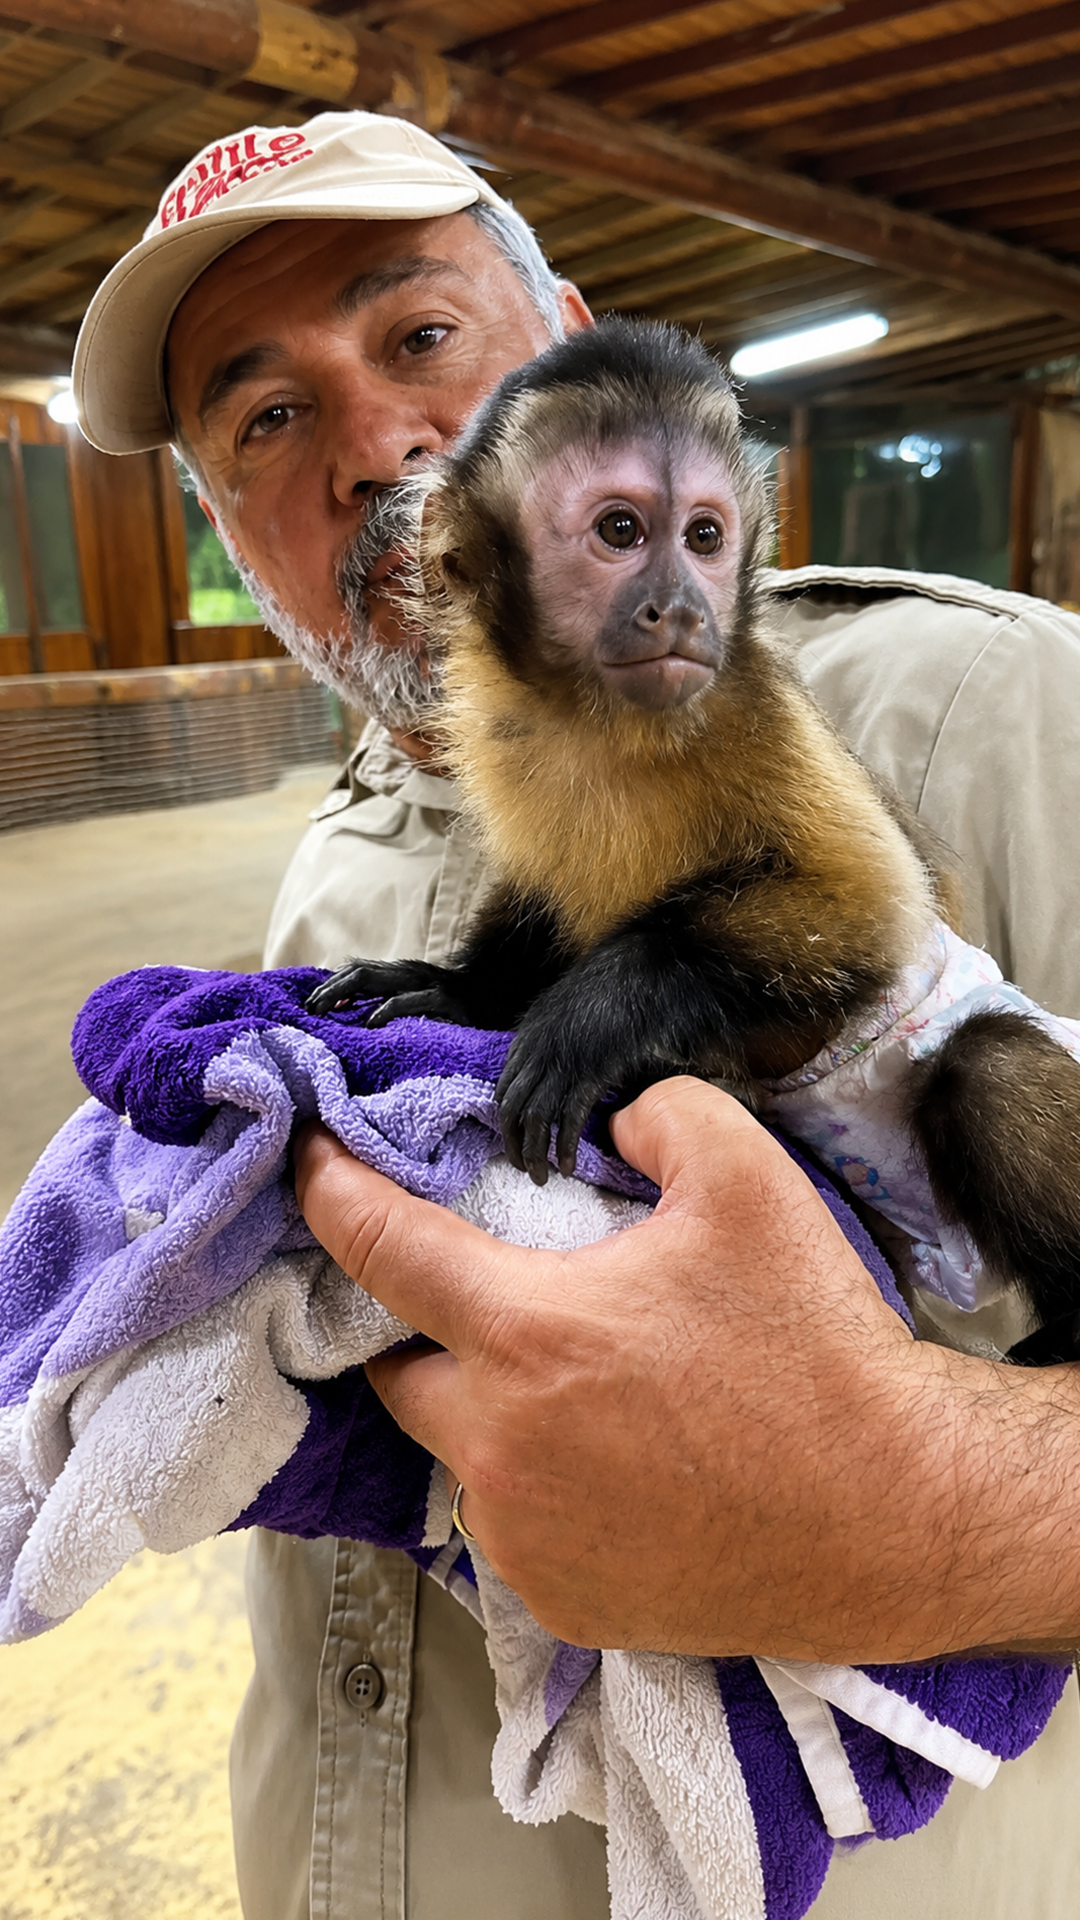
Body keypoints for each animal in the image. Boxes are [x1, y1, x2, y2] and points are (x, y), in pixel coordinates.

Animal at [307, 318, 1080, 1358]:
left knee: (986, 1062)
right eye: (621, 531)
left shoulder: (757, 711)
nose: (678, 605)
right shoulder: (506, 732)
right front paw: (461, 991)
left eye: (704, 537)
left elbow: (869, 907)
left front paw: (598, 1011)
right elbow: (539, 888)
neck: (604, 725)